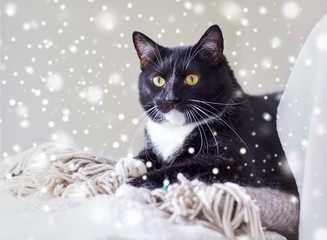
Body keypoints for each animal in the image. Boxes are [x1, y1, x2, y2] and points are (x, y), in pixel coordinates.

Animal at [116, 24, 300, 197]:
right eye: (158, 80)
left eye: (192, 78)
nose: (170, 98)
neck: (176, 129)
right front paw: (131, 163)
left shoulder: (237, 162)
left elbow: (181, 168)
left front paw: (131, 187)